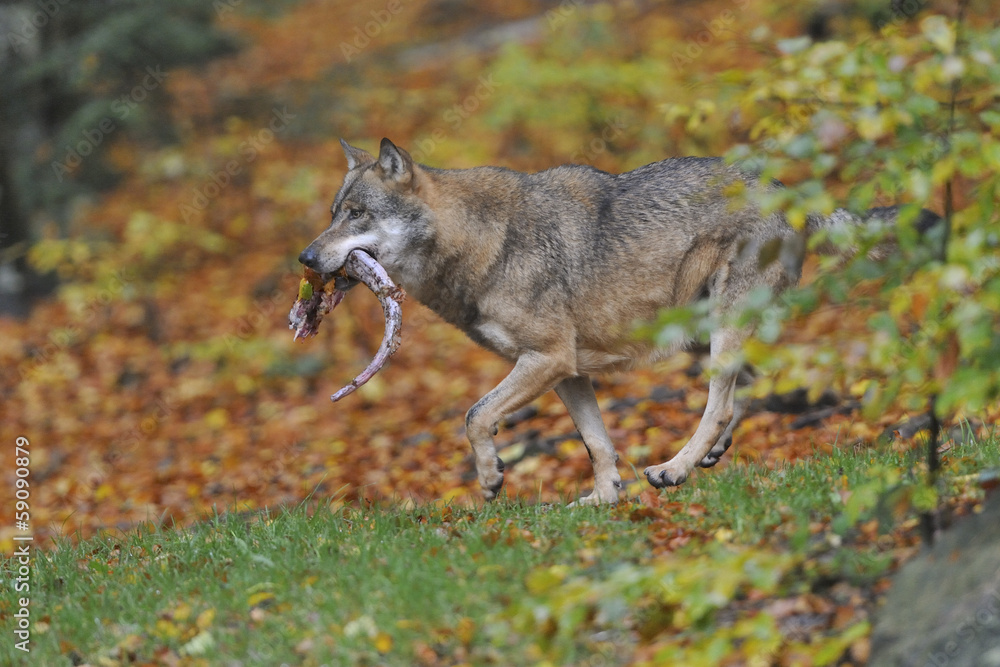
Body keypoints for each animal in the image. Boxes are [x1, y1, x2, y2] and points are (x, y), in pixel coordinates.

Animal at [298, 138, 939, 505]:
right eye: (331, 214)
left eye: (356, 215)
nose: (305, 258)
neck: (483, 242)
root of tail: (793, 193)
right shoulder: (567, 372)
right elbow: (596, 443)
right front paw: (604, 500)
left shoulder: (547, 359)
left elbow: (475, 416)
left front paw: (491, 478)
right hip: (698, 336)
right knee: (742, 396)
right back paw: (703, 459)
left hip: (716, 334)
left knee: (720, 403)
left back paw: (675, 470)